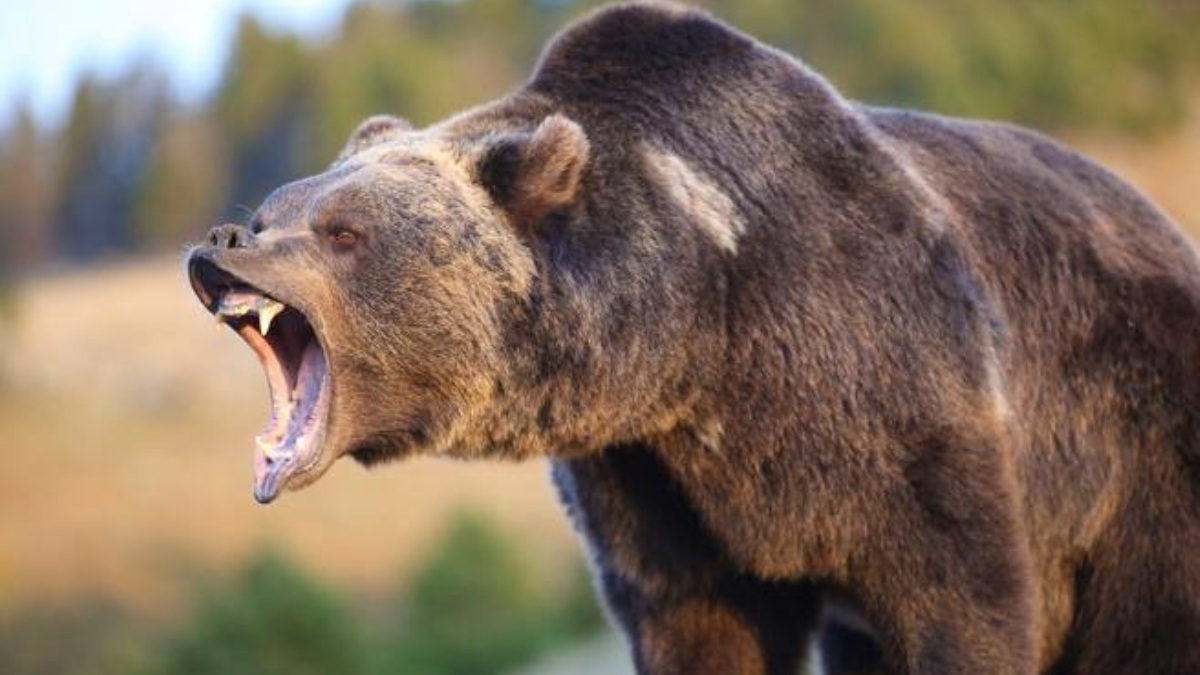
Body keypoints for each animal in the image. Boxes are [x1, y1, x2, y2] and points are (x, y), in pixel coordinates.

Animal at [186, 2, 1200, 674]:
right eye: (274, 208)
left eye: (342, 230)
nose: (223, 240)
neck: (699, 335)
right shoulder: (653, 483)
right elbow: (697, 621)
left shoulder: (902, 395)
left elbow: (962, 595)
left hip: (1142, 451)